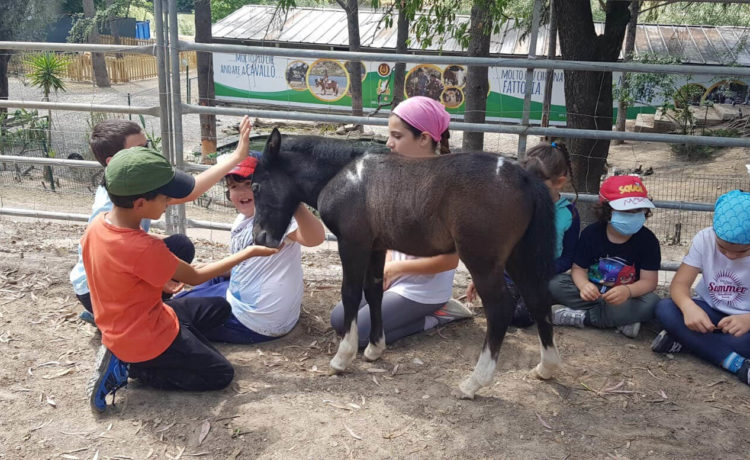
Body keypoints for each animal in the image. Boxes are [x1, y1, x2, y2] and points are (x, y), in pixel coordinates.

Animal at [253, 129, 564, 398]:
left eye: (255, 185)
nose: (260, 236)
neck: (347, 175)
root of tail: (523, 176)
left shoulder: (352, 243)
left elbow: (351, 294)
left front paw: (342, 358)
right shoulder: (377, 247)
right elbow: (374, 291)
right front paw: (375, 349)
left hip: (483, 261)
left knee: (500, 309)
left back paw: (474, 382)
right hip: (518, 256)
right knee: (537, 299)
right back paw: (546, 367)